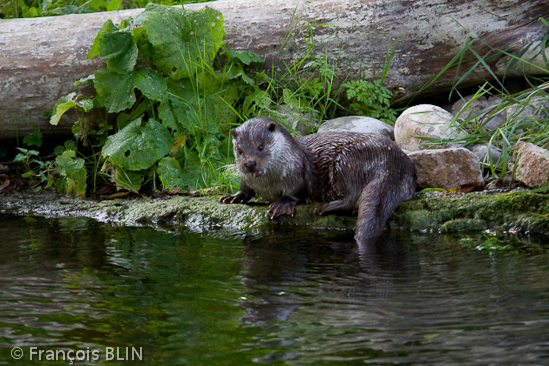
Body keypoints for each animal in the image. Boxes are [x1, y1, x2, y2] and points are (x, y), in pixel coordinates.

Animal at [218, 116, 416, 240]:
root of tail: (395, 162)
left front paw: (283, 203)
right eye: (240, 150)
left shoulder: (297, 172)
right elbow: (245, 188)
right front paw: (234, 197)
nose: (250, 164)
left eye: (260, 147)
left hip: (347, 161)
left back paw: (324, 208)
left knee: (353, 198)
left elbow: (296, 190)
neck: (267, 185)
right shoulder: (247, 179)